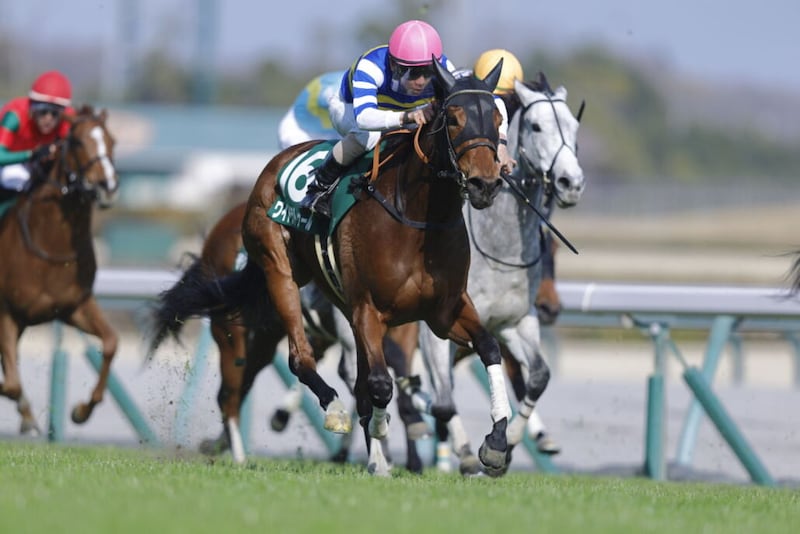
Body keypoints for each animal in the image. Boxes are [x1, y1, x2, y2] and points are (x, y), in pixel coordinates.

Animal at [0, 105, 119, 435]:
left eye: (113, 141)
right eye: (77, 142)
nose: (107, 186)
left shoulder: (73, 306)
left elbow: (110, 343)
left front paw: (81, 411)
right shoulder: (6, 311)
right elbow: (11, 384)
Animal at [150, 202, 427, 471]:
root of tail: (218, 231)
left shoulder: (400, 331)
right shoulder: (353, 328)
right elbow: (369, 381)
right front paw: (383, 456)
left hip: (265, 340)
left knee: (239, 387)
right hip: (231, 334)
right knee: (228, 394)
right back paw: (239, 458)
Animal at [410, 73, 585, 474]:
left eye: (574, 127)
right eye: (536, 126)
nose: (571, 183)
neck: (497, 249)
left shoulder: (513, 322)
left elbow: (537, 376)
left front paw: (507, 445)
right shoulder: (434, 329)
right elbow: (444, 401)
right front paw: (465, 452)